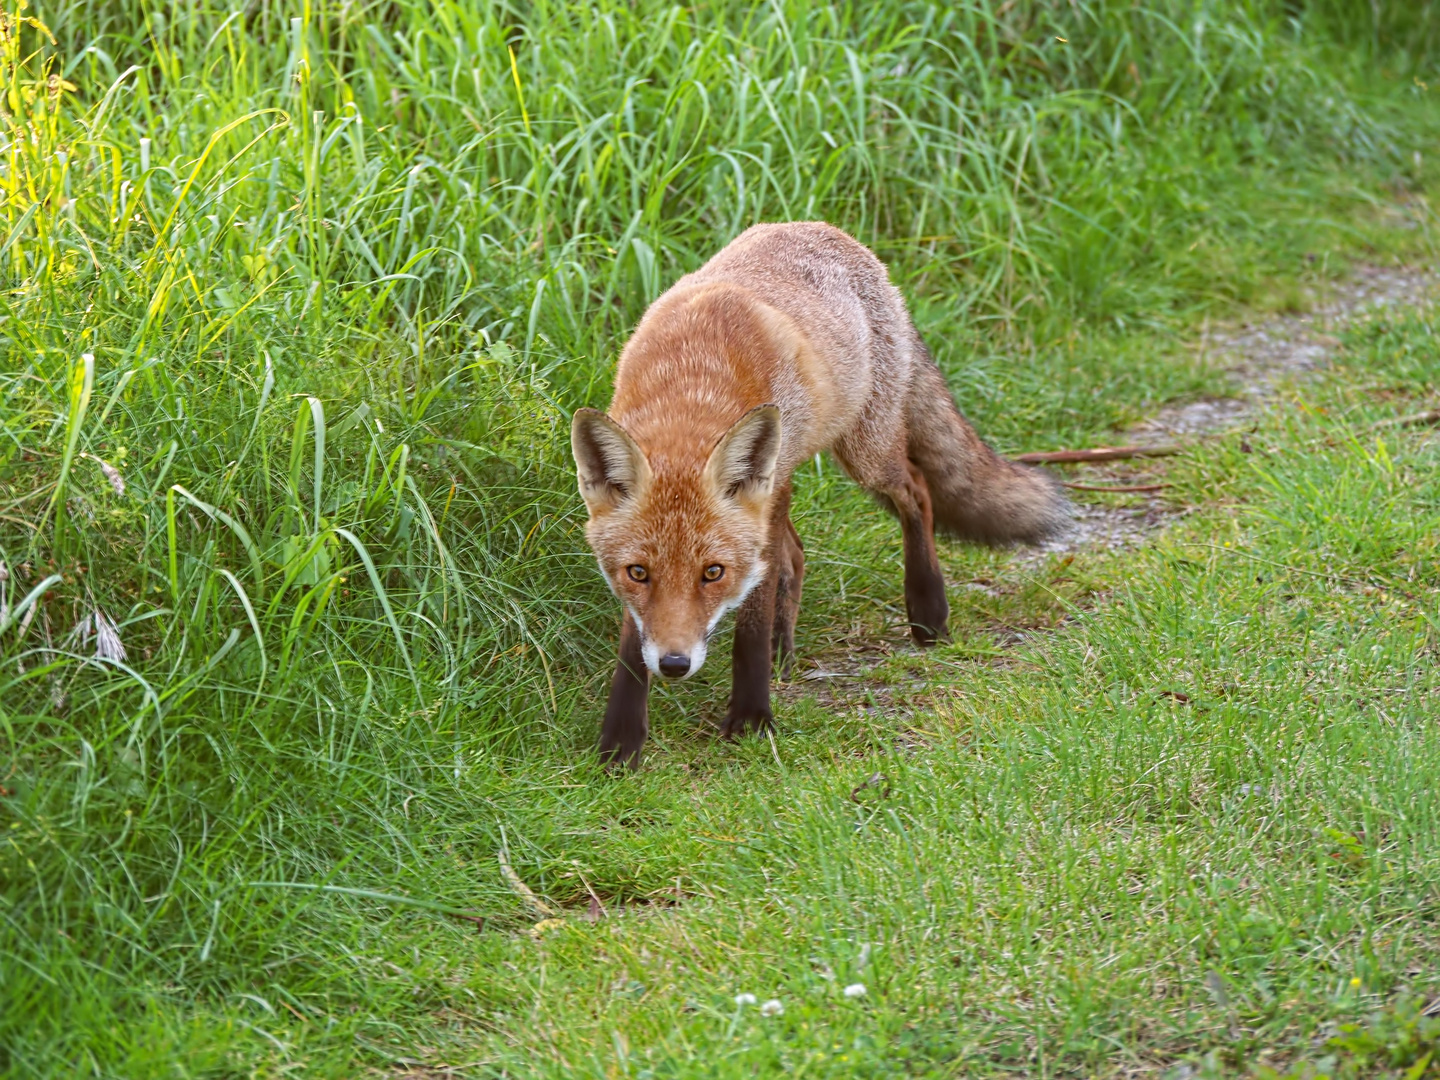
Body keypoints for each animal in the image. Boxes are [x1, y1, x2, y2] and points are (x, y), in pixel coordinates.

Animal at [573, 224, 1071, 771]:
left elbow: (749, 627)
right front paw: (620, 741)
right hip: (793, 478)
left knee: (917, 492)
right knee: (795, 554)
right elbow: (632, 645)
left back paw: (928, 612)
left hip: (864, 454)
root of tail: (828, 231)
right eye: (638, 573)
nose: (675, 664)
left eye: (713, 573)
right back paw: (783, 651)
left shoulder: (763, 512)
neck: (693, 384)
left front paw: (751, 718)